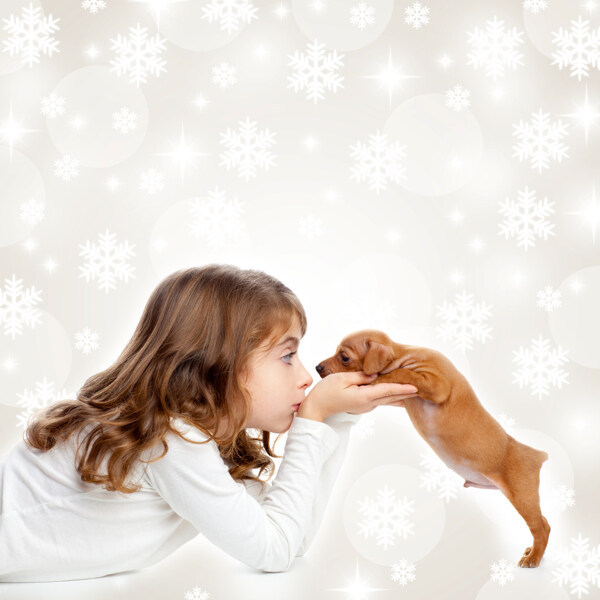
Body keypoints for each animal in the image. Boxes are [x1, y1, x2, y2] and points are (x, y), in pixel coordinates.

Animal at [316, 328, 552, 568]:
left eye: (344, 357)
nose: (317, 367)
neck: (404, 354)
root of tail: (537, 455)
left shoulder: (438, 384)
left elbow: (405, 373)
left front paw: (380, 378)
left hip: (522, 496)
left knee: (541, 527)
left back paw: (533, 558)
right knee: (544, 522)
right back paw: (532, 551)